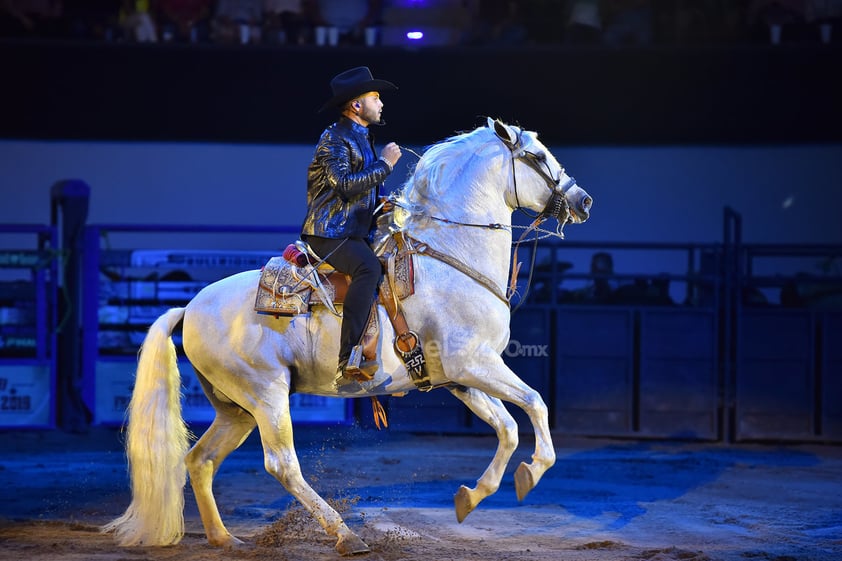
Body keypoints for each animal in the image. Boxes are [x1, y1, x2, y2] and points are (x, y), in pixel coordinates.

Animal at [101, 118, 592, 556]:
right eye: (537, 156)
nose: (583, 200)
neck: (451, 259)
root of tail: (190, 307)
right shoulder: (476, 363)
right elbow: (535, 404)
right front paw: (533, 472)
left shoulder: (459, 378)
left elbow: (507, 427)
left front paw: (471, 497)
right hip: (266, 394)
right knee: (282, 465)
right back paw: (344, 535)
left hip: (235, 409)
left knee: (200, 460)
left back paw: (226, 539)